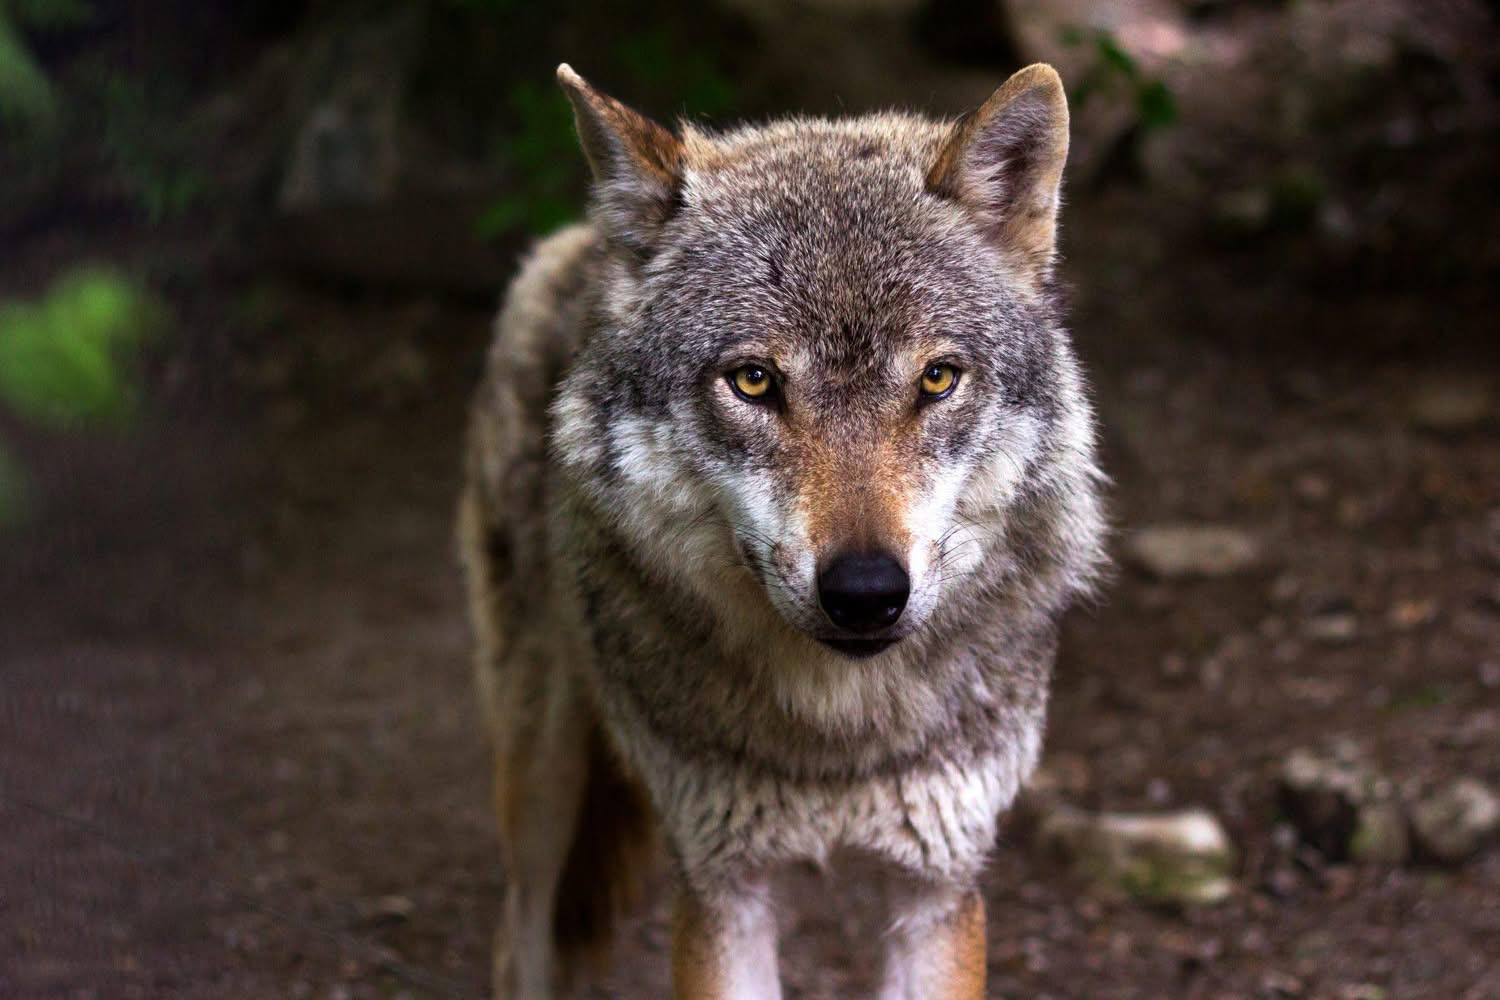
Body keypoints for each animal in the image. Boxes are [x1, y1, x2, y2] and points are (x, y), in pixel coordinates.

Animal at [458, 61, 1106, 998]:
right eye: (755, 382)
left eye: (937, 378)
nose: (866, 593)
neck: (838, 738)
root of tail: (584, 240)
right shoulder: (724, 890)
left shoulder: (938, 889)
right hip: (541, 775)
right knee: (520, 937)